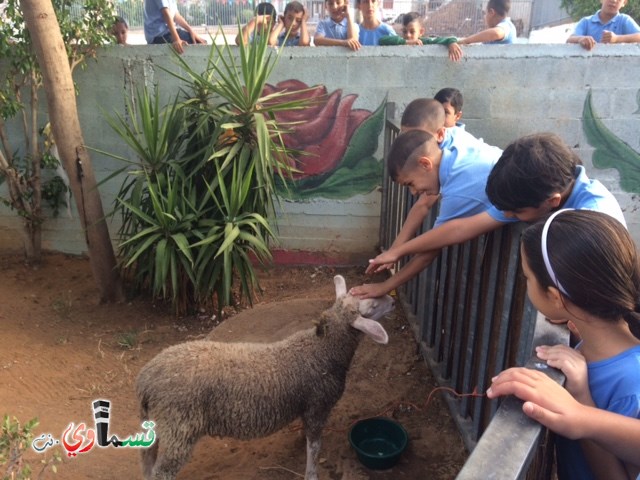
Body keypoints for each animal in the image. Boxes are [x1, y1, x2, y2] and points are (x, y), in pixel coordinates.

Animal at [136, 276, 396, 478]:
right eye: (373, 306)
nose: (393, 301)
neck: (322, 350)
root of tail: (146, 381)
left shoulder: (307, 406)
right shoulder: (318, 406)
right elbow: (314, 448)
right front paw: (311, 473)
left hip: (158, 424)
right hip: (179, 427)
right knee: (162, 472)